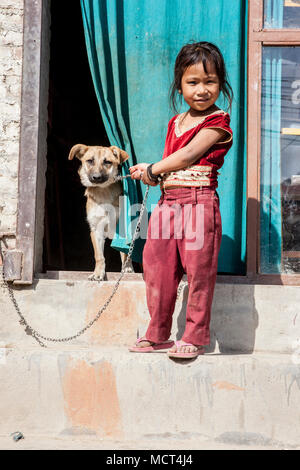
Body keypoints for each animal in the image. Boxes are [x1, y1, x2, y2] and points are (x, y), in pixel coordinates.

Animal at [68, 144, 134, 280]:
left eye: (107, 162)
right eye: (90, 161)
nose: (96, 177)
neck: (103, 191)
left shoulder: (122, 229)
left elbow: (124, 253)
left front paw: (126, 269)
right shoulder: (96, 230)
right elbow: (99, 256)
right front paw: (98, 273)